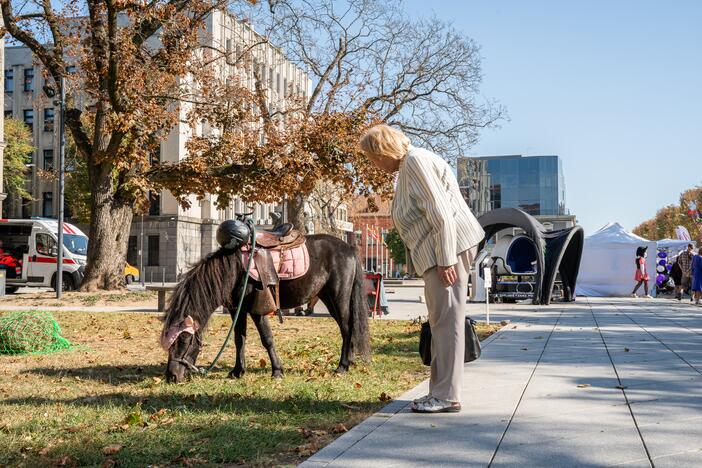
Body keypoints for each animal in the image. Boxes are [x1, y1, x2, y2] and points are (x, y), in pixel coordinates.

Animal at [158, 234, 368, 384]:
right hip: (328, 298)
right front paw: (237, 371)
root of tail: (349, 248)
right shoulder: (237, 310)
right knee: (347, 328)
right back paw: (350, 361)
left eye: (184, 339)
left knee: (347, 328)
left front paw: (277, 371)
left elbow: (267, 339)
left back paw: (342, 366)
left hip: (339, 297)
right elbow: (239, 339)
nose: (171, 377)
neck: (235, 270)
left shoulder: (257, 310)